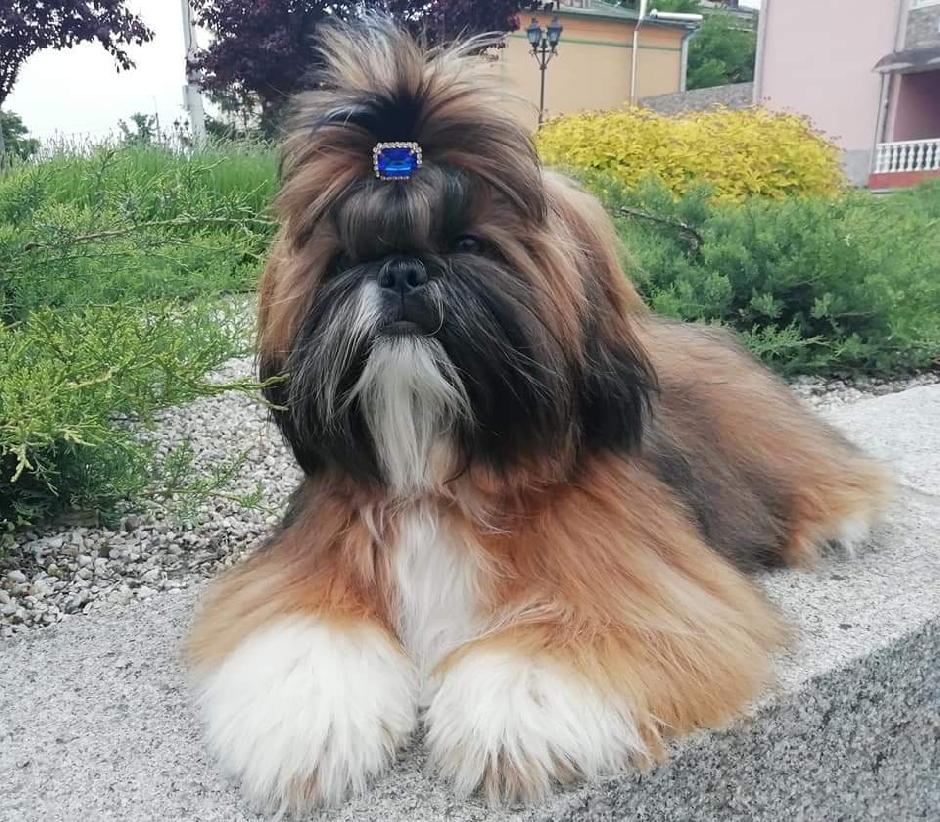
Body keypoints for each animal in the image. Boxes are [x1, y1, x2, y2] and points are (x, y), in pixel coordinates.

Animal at [187, 18, 891, 814]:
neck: (440, 475)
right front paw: (308, 724)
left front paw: (511, 707)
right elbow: (305, 626)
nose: (399, 270)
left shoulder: (651, 580)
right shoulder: (309, 555)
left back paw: (842, 516)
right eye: (347, 258)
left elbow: (586, 627)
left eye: (468, 244)